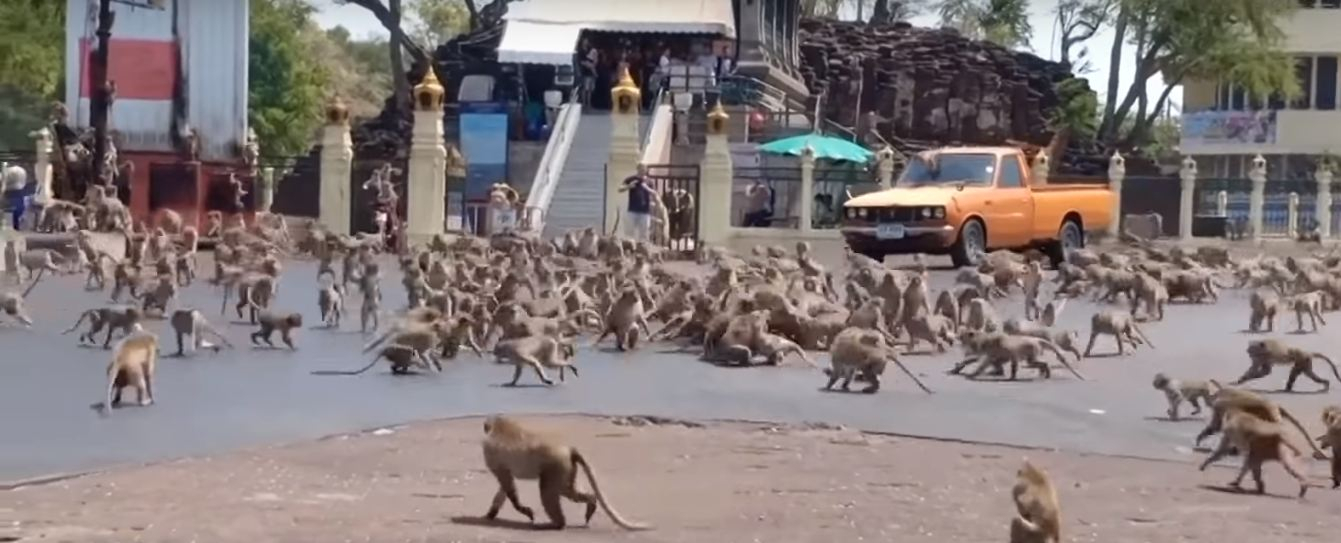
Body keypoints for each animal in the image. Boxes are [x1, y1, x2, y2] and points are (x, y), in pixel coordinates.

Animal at [480, 415, 651, 531]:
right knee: (568, 491)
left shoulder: (492, 456)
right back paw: (591, 502)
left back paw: (558, 523)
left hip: (556, 465)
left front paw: (521, 508)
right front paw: (491, 513)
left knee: (548, 491)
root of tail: (568, 449)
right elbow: (505, 486)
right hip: (566, 467)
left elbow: (507, 483)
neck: (497, 426)